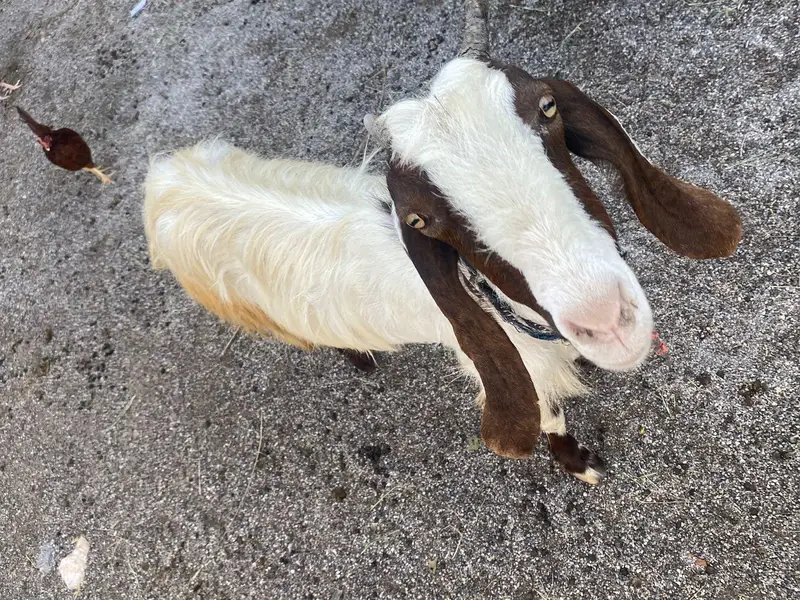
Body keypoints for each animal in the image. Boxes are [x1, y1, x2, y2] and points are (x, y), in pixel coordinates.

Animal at [143, 1, 741, 484]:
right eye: (421, 219)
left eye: (548, 107)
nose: (607, 321)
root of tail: (160, 181)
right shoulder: (512, 370)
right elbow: (548, 415)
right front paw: (579, 463)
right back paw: (358, 357)